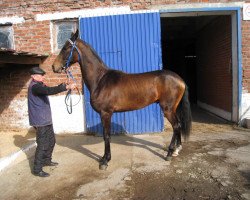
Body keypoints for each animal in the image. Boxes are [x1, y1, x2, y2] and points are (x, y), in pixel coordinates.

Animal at [52, 29, 192, 170]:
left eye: (66, 48)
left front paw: (105, 161)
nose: (54, 67)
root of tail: (179, 79)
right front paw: (103, 158)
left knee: (176, 126)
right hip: (173, 108)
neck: (100, 80)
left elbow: (106, 135)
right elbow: (106, 135)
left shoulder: (106, 113)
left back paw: (169, 153)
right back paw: (176, 150)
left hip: (168, 109)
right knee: (178, 125)